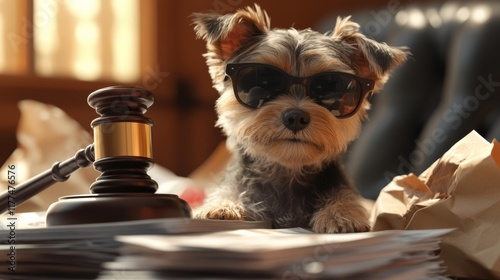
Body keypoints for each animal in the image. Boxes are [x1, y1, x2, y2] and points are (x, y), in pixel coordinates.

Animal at [190, 4, 406, 233]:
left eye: (328, 87)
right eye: (263, 81)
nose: (296, 116)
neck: (288, 170)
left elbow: (344, 199)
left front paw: (342, 214)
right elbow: (230, 191)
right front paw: (224, 206)